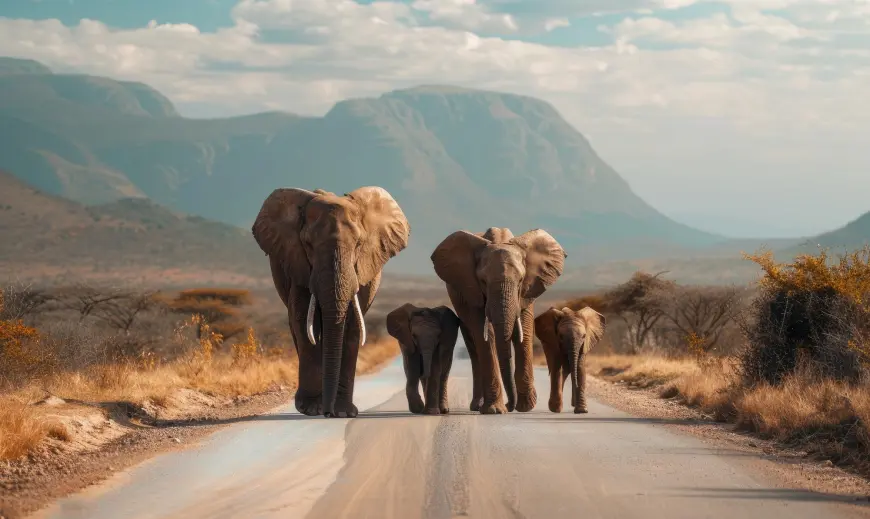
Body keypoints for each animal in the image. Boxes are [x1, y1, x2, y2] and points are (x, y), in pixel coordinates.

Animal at [252, 186, 410, 418]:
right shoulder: (298, 263)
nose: (328, 413)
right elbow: (303, 321)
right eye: (308, 244)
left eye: (359, 244)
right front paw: (311, 409)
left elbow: (352, 327)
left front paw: (343, 412)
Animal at [431, 227, 566, 415]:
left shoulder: (529, 289)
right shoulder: (472, 289)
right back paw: (478, 406)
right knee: (474, 346)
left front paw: (526, 407)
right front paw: (494, 410)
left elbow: (524, 332)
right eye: (483, 281)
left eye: (520, 280)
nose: (510, 406)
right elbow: (486, 336)